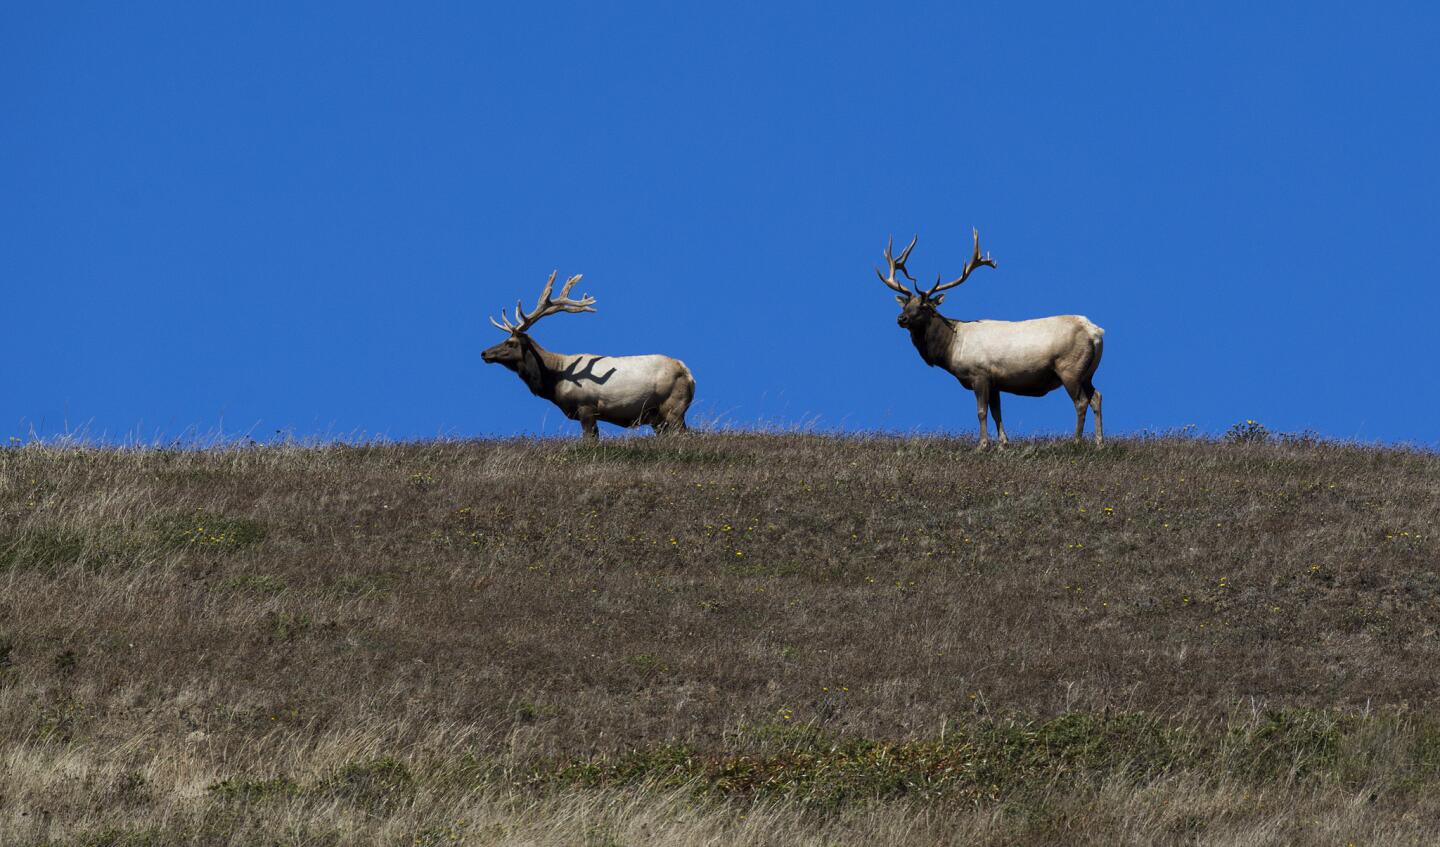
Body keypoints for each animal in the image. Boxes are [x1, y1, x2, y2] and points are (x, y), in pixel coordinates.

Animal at [480, 270, 694, 440]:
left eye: (511, 343)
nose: (484, 353)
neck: (555, 380)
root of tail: (689, 374)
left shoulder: (586, 405)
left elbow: (589, 439)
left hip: (673, 405)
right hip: (657, 417)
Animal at [869, 227, 1105, 446]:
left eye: (925, 306)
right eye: (906, 305)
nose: (901, 318)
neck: (952, 349)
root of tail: (1096, 332)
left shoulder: (979, 373)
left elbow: (981, 412)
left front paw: (982, 444)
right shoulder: (996, 381)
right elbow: (996, 413)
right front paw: (1003, 444)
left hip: (1069, 368)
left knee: (1081, 402)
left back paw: (1077, 441)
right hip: (1087, 372)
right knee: (1097, 397)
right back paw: (1099, 442)